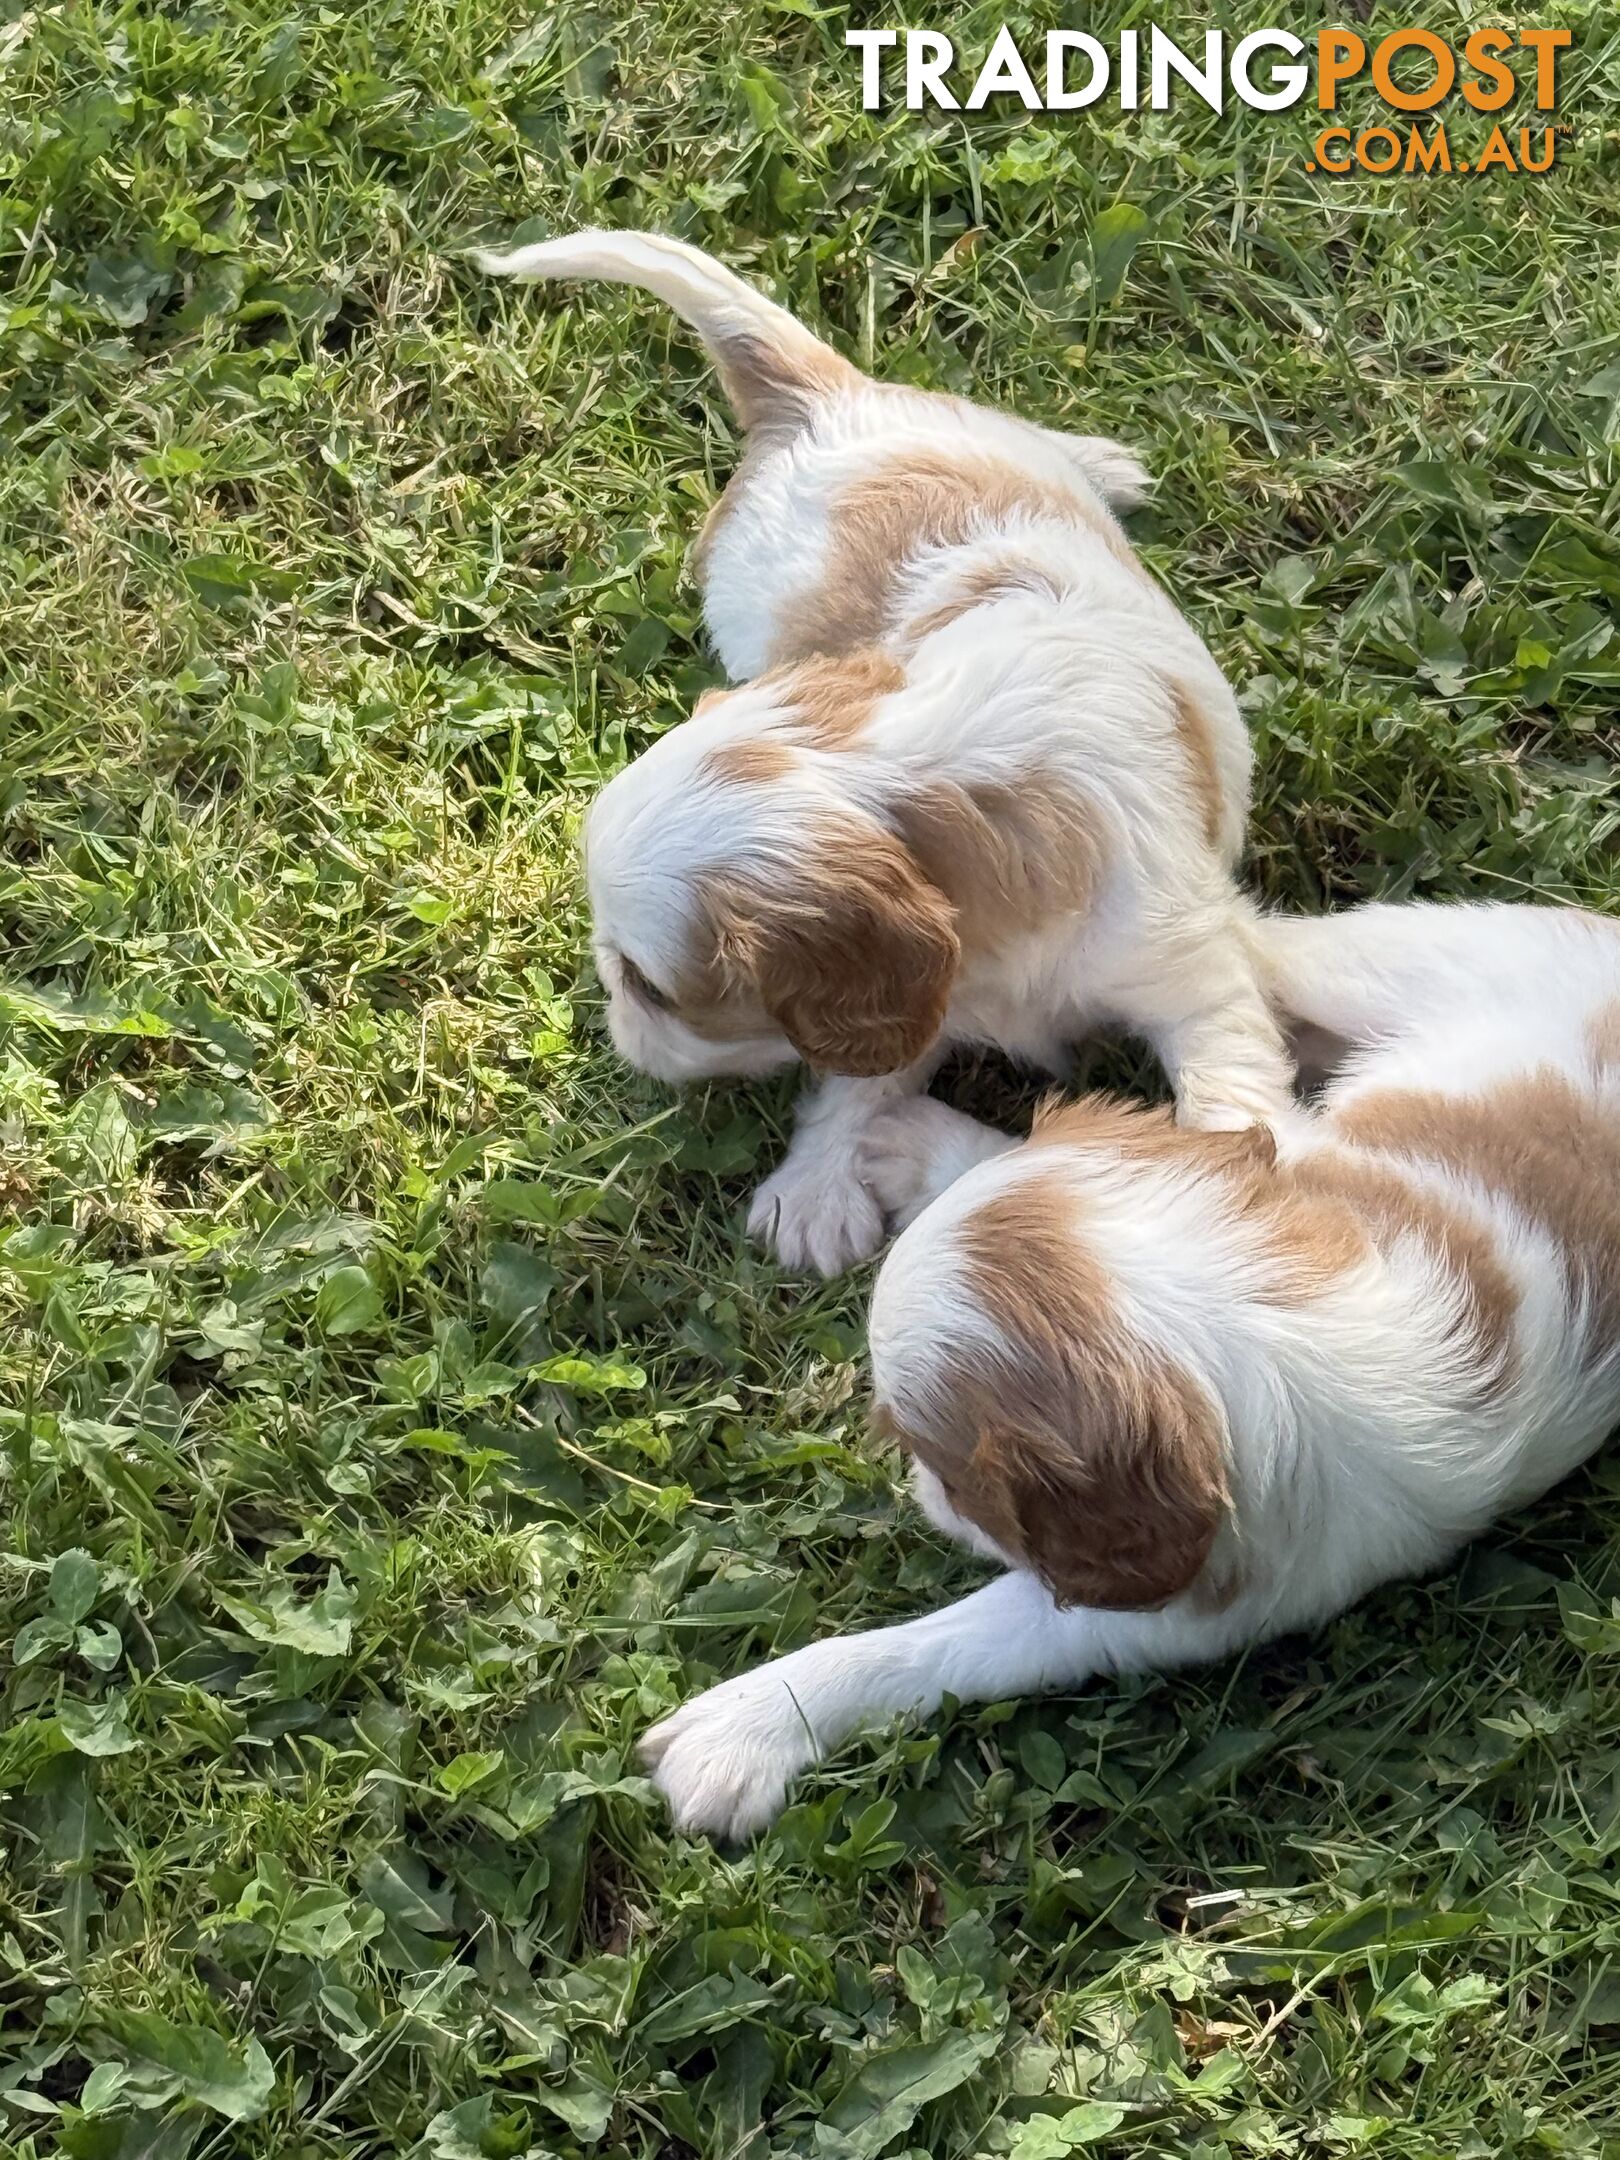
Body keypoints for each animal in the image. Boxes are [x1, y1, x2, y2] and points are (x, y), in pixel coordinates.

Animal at [479, 232, 1296, 1278]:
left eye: (648, 986)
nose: (617, 1030)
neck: (916, 766)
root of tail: (825, 398)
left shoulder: (1186, 954)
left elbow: (1227, 1073)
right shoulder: (928, 988)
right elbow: (864, 1074)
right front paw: (818, 1190)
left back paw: (1101, 461)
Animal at [639, 898, 1620, 1840]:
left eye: (953, 1474)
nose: (918, 1492)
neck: (1256, 1321)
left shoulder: (1176, 1603)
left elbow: (947, 1643)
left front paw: (747, 1725)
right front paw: (921, 1146)